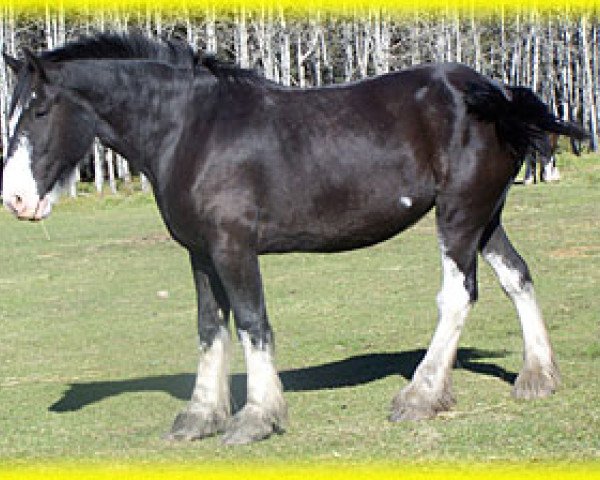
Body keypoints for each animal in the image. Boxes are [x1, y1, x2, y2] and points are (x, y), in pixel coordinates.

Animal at [2, 34, 588, 446]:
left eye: (39, 109)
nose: (15, 199)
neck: (191, 129)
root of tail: (496, 92)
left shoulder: (233, 247)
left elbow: (252, 323)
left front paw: (257, 418)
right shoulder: (200, 253)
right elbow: (210, 328)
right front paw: (200, 416)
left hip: (459, 217)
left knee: (458, 295)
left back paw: (421, 396)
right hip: (486, 217)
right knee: (517, 277)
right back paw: (537, 377)